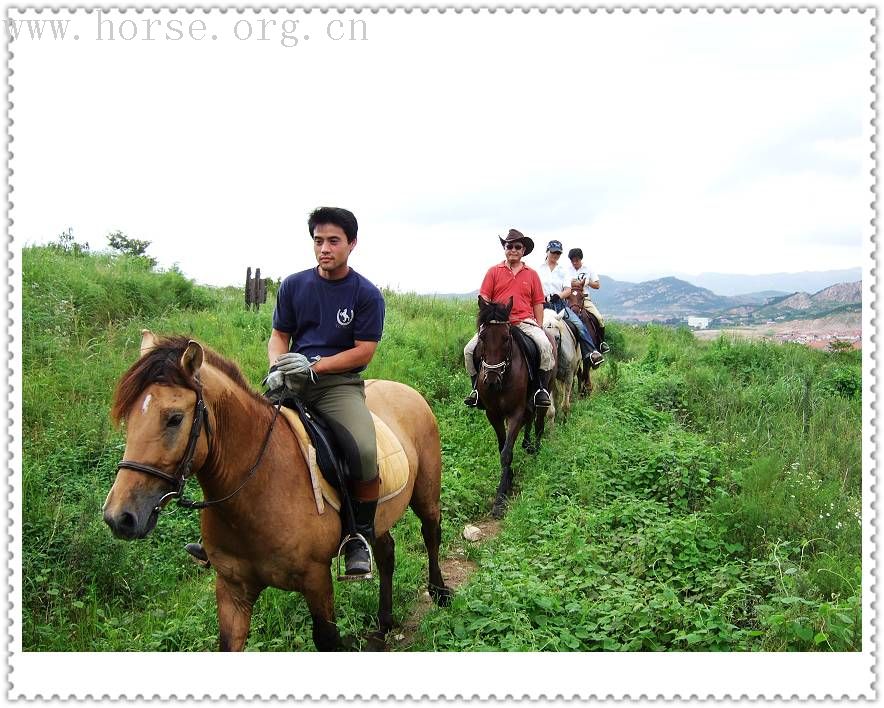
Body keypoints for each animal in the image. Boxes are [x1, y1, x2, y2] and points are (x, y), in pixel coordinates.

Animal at [102, 332, 456, 652]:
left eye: (174, 419)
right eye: (129, 416)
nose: (120, 517)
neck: (256, 489)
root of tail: (406, 390)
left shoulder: (316, 579)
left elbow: (328, 640)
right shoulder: (232, 589)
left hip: (425, 494)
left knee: (430, 533)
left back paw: (439, 593)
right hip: (377, 519)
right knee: (385, 554)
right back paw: (383, 626)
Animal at [474, 296, 556, 516]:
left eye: (505, 338)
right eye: (482, 337)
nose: (491, 381)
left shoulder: (515, 413)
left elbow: (507, 453)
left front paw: (501, 497)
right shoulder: (493, 414)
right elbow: (502, 447)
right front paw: (508, 478)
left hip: (547, 389)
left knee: (539, 422)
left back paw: (536, 451)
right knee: (530, 419)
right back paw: (527, 444)